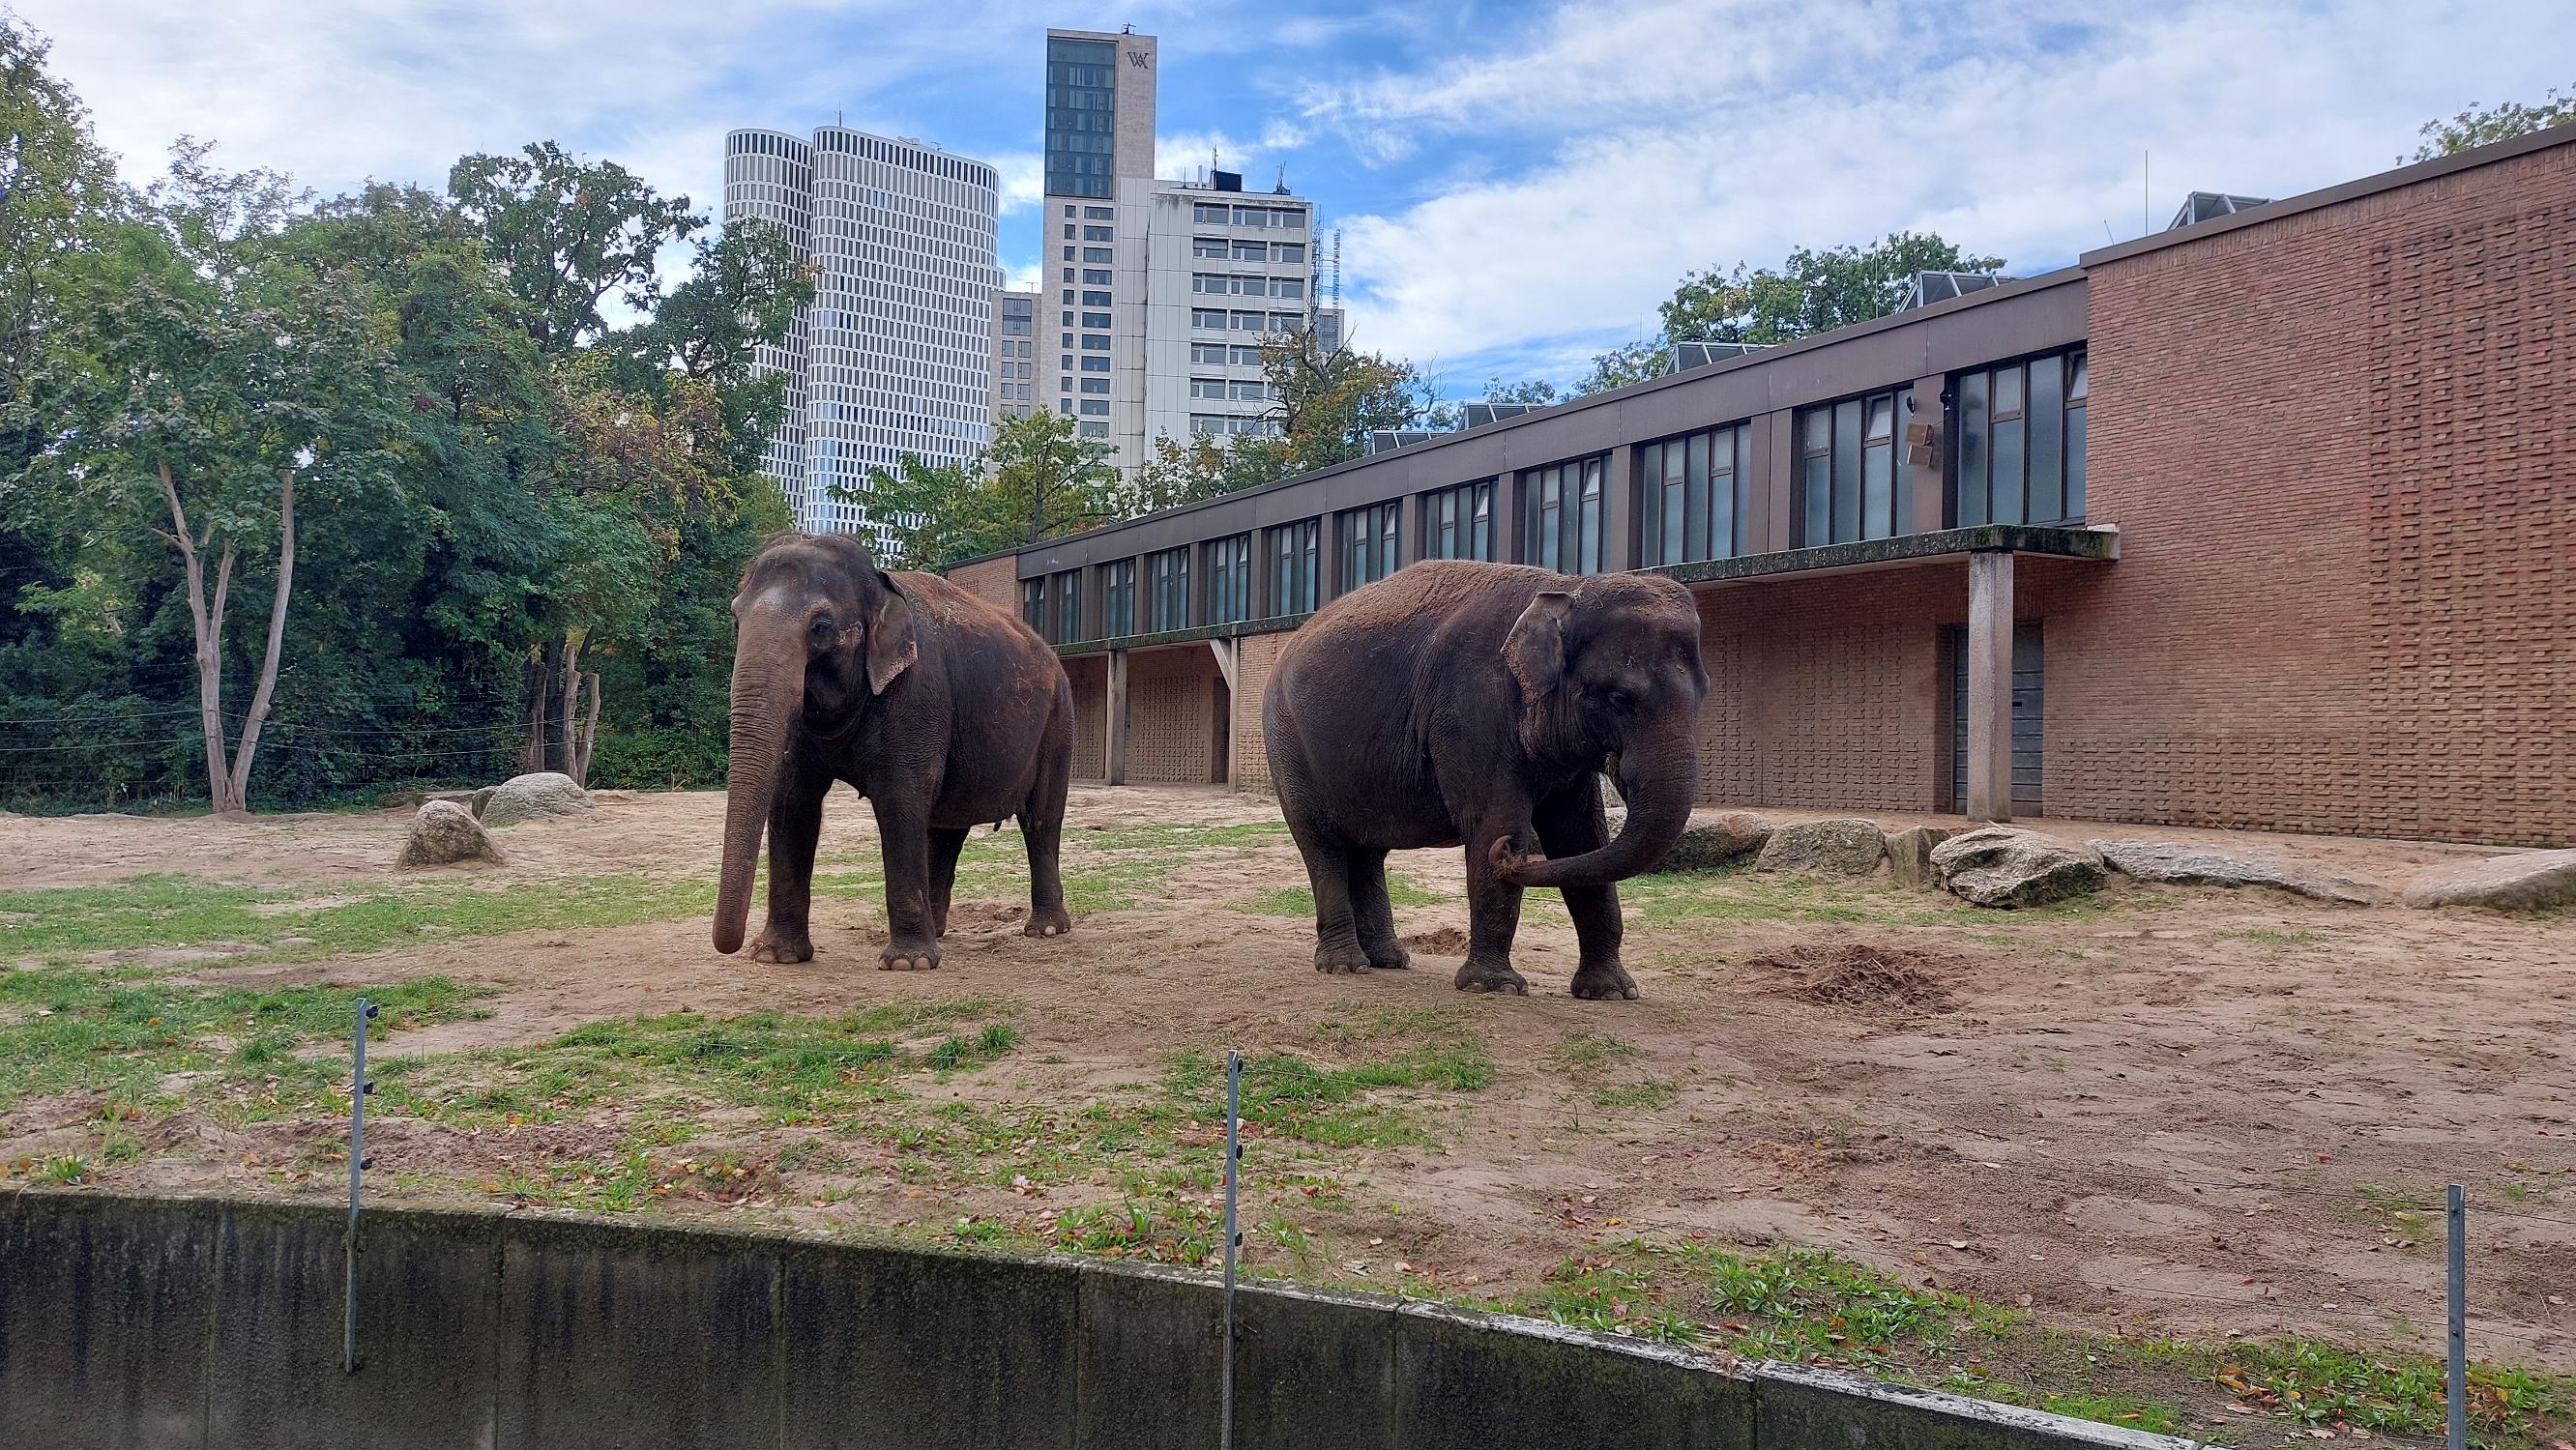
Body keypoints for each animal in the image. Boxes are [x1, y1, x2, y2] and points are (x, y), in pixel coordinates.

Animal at [711, 533, 1075, 971]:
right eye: (735, 619)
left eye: (821, 628)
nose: (732, 946)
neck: (879, 582)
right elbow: (792, 801)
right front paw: (775, 956)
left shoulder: (915, 694)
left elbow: (900, 800)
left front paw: (907, 964)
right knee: (947, 824)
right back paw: (939, 929)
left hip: (1058, 721)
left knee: (1040, 819)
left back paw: (1047, 930)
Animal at [1261, 560, 1708, 1000]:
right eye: (1619, 698)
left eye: (1704, 694)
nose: (1509, 855)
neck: (1567, 589)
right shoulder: (1471, 710)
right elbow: (1496, 821)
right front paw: (1493, 987)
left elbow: (1581, 837)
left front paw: (1611, 992)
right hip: (1288, 746)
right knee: (1323, 844)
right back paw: (1344, 966)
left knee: (1367, 851)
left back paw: (1389, 959)